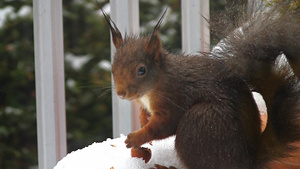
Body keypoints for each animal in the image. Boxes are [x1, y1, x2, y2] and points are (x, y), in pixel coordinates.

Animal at [101, 0, 300, 168]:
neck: (156, 84)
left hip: (200, 124)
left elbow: (163, 126)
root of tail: (248, 160)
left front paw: (135, 138)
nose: (121, 93)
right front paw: (143, 120)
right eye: (113, 68)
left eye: (141, 70)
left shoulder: (173, 99)